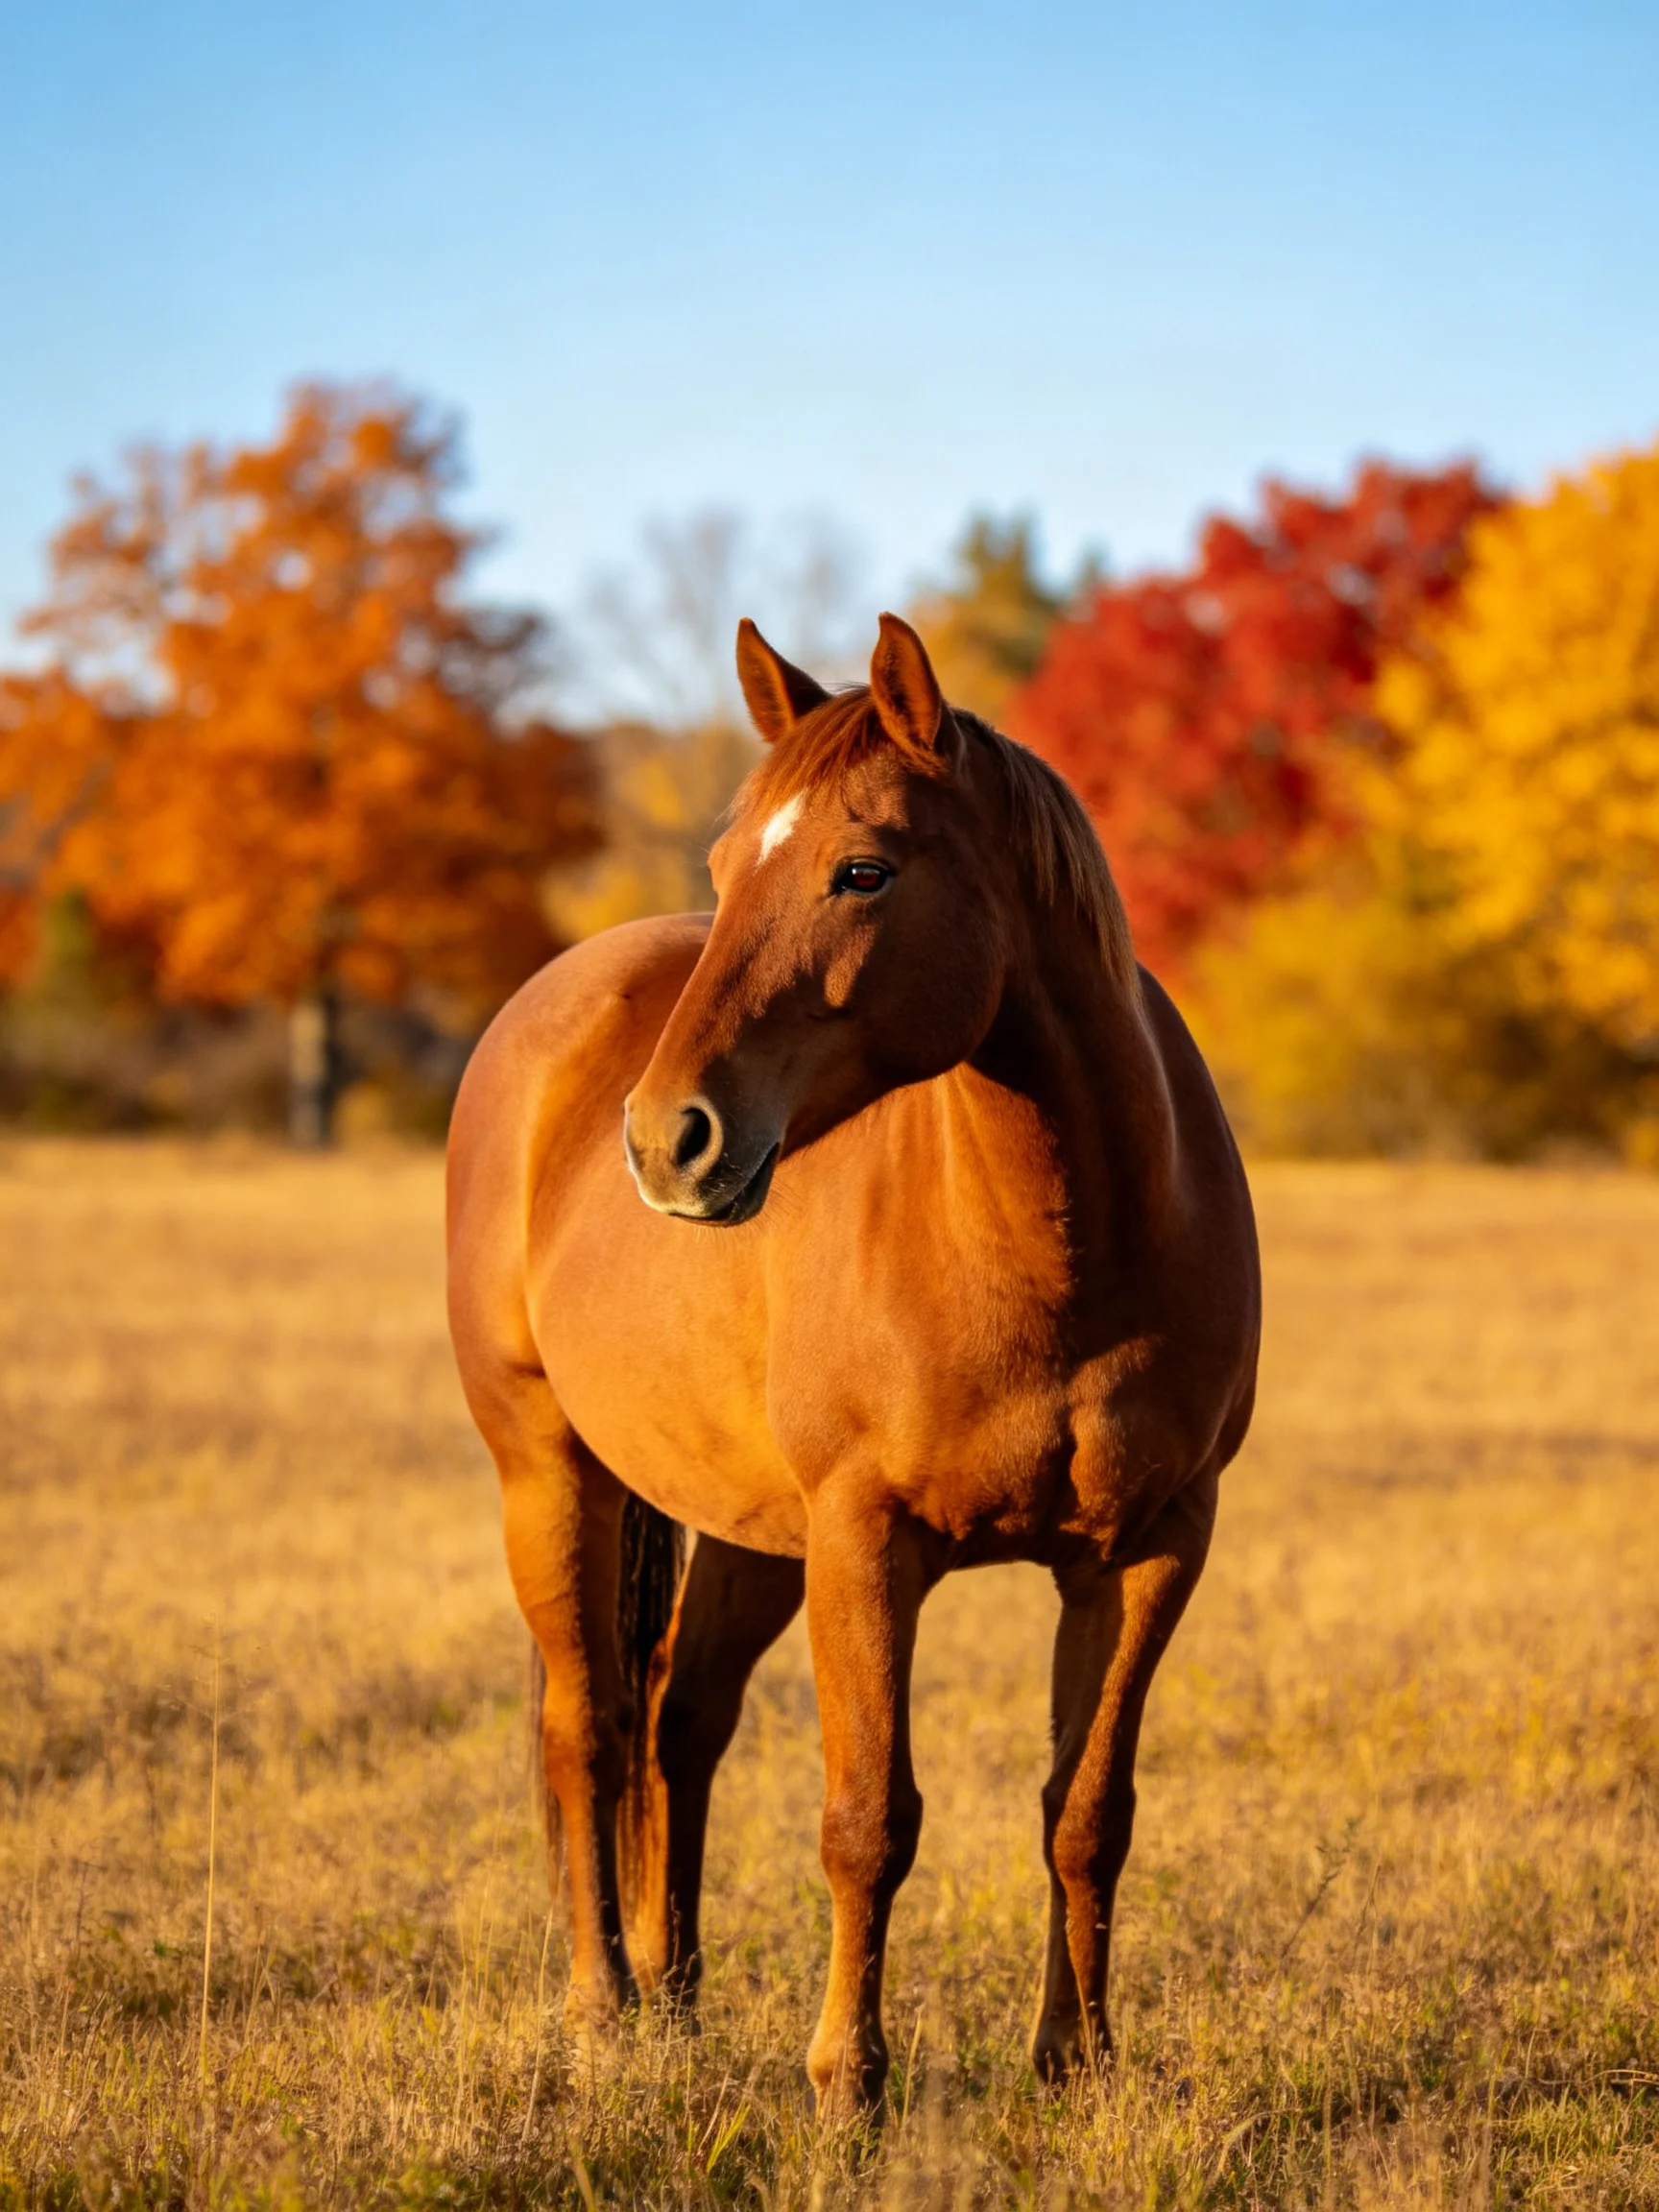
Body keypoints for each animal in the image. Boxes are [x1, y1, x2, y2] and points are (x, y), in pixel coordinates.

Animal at [446, 613, 1260, 2119]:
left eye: (863, 869)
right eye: (723, 869)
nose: (669, 1139)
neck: (1063, 1245)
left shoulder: (1152, 1548)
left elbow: (1087, 1814)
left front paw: (1076, 2066)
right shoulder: (867, 1542)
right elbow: (867, 1820)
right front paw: (849, 2087)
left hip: (748, 1529)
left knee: (681, 1722)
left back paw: (676, 2002)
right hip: (551, 1473)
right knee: (590, 1728)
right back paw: (604, 2017)